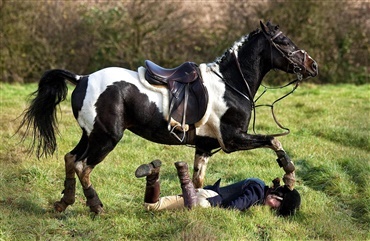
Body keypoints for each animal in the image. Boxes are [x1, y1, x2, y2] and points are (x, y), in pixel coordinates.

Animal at [18, 20, 318, 213]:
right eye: (283, 42)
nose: (313, 65)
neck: (231, 84)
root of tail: (82, 78)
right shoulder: (233, 140)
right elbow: (275, 141)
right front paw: (290, 177)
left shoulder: (205, 146)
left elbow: (197, 182)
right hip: (106, 138)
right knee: (83, 166)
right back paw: (96, 207)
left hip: (90, 135)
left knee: (70, 158)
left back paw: (63, 203)